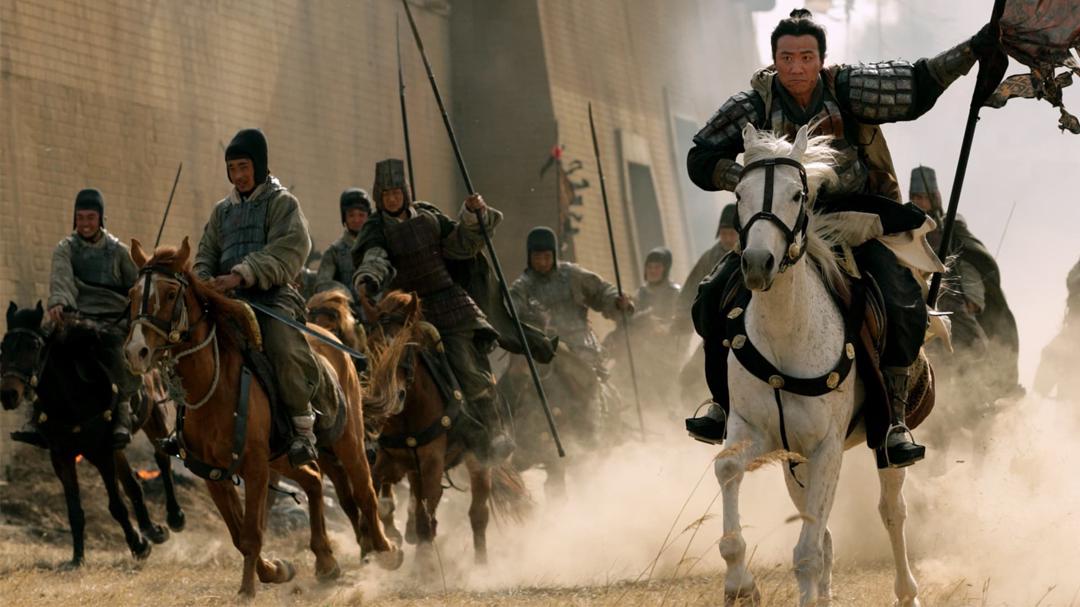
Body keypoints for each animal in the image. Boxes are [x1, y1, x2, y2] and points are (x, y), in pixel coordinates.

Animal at [1, 301, 183, 567]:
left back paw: (174, 517)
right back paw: (152, 530)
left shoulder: (101, 453)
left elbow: (116, 505)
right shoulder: (62, 456)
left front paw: (139, 546)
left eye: (33, 347)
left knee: (162, 459)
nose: (8, 394)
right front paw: (77, 558)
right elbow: (74, 510)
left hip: (154, 417)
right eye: (3, 347)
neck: (71, 397)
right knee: (132, 483)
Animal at [121, 238, 400, 598]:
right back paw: (326, 561)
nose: (136, 351)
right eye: (132, 294)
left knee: (365, 489)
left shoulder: (254, 467)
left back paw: (385, 550)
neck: (214, 386)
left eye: (170, 294)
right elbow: (240, 535)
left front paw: (247, 590)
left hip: (347, 440)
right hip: (282, 456)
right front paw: (275, 570)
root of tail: (332, 339)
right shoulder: (214, 474)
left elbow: (252, 532)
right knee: (313, 479)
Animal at [361, 290, 529, 566]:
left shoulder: (431, 462)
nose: (393, 398)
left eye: (407, 348)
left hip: (478, 460)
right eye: (373, 346)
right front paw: (383, 546)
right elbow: (375, 493)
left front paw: (425, 562)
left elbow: (428, 510)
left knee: (478, 513)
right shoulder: (389, 460)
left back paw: (481, 564)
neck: (408, 414)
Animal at [711, 123, 929, 607]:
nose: (757, 264)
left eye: (797, 195)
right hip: (796, 463)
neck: (784, 337)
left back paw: (907, 592)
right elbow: (728, 469)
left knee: (892, 511)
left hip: (878, 447)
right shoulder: (754, 431)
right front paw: (739, 583)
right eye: (739, 194)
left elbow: (808, 550)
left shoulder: (827, 446)